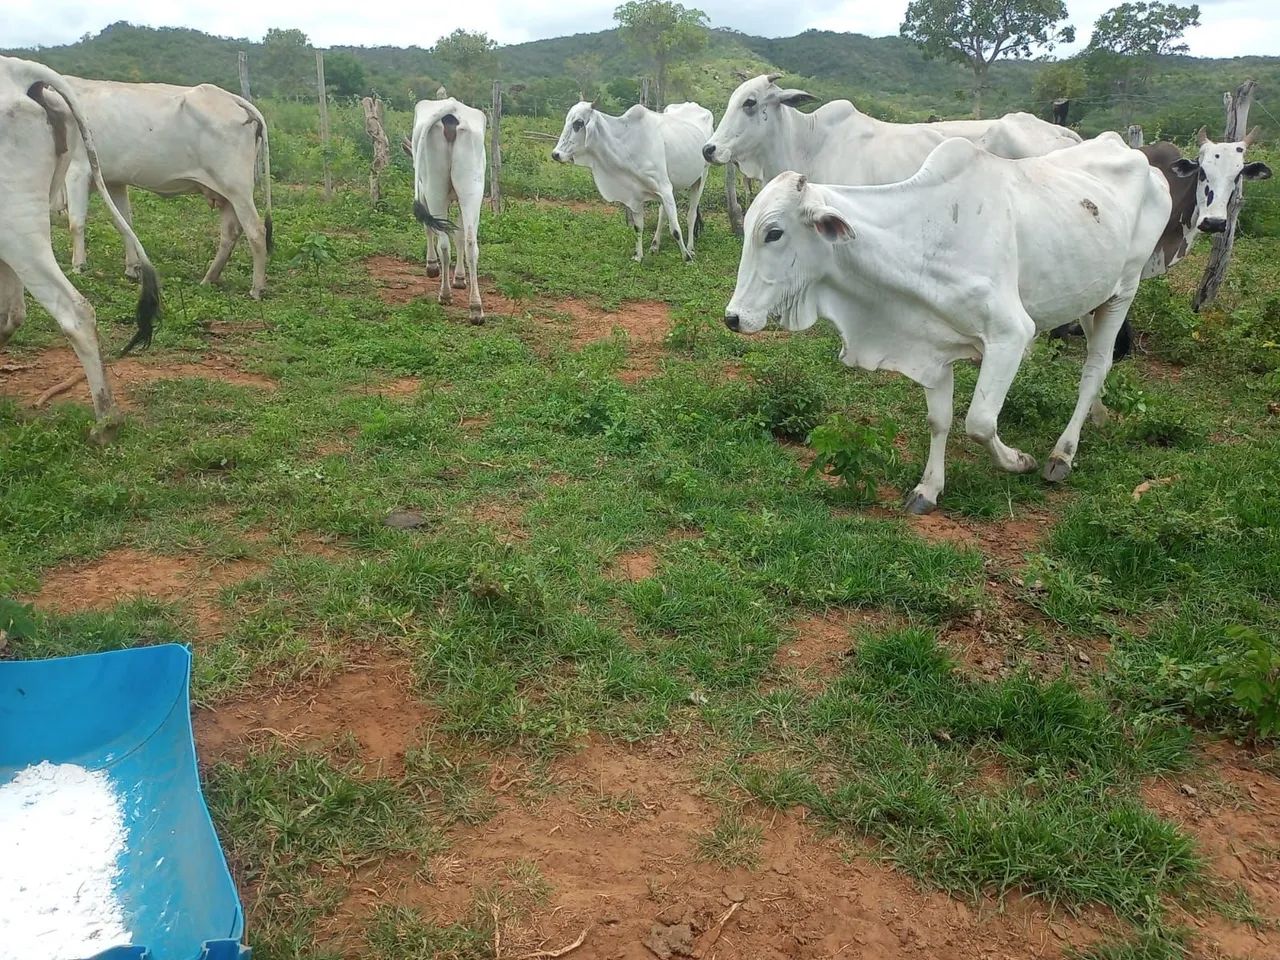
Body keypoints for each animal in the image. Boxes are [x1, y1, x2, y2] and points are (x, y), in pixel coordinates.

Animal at [55, 77, 273, 299]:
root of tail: (233, 98)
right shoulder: (114, 181)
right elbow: (124, 224)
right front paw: (132, 268)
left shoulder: (77, 169)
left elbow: (76, 223)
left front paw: (78, 267)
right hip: (226, 194)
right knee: (230, 233)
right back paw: (208, 279)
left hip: (238, 189)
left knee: (256, 232)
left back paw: (256, 288)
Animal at [409, 96, 487, 323]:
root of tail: (450, 110)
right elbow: (460, 236)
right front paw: (460, 278)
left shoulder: (423, 191)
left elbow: (429, 229)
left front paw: (431, 266)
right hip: (472, 190)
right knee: (471, 243)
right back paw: (476, 307)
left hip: (434, 188)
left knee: (443, 243)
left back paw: (444, 295)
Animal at [552, 100, 713, 262]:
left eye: (578, 123)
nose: (555, 154)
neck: (626, 145)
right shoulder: (637, 194)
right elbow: (638, 227)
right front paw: (638, 256)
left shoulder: (664, 188)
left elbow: (675, 229)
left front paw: (686, 258)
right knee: (663, 214)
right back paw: (655, 245)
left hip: (701, 177)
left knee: (691, 215)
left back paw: (690, 248)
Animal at [723, 133, 1171, 514]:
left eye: (774, 233)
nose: (733, 317)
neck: (922, 239)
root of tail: (1136, 155)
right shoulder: (931, 346)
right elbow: (939, 421)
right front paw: (929, 488)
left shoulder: (1010, 335)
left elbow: (979, 422)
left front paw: (1018, 460)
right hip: (1089, 296)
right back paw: (1098, 416)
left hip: (1123, 290)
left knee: (1095, 368)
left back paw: (1062, 453)